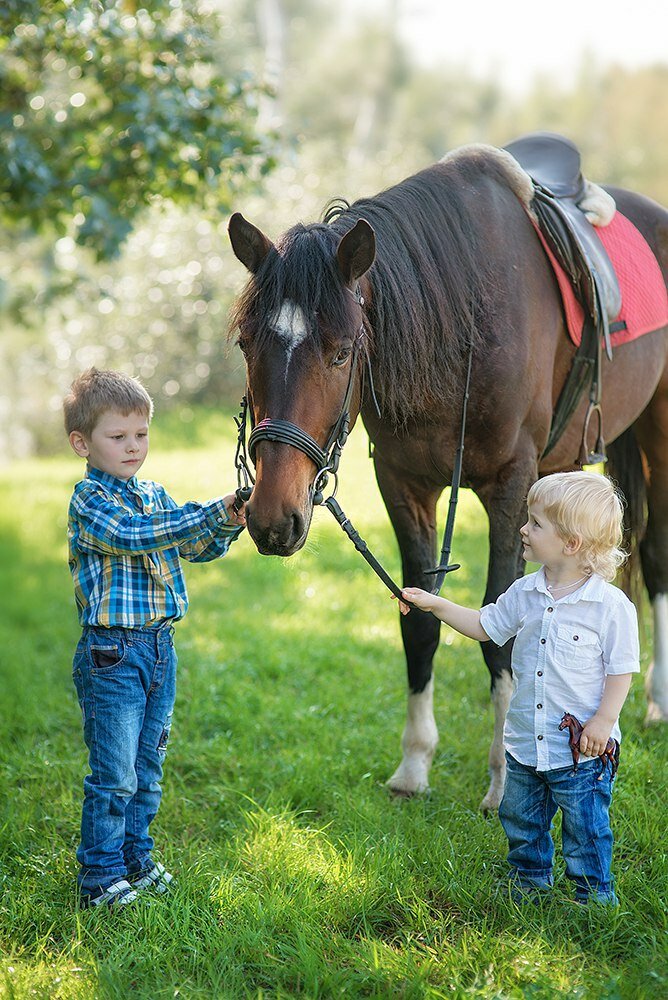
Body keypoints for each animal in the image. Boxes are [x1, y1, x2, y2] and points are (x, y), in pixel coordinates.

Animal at [227, 143, 664, 812]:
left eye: (342, 351)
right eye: (248, 345)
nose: (274, 518)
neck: (464, 316)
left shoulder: (513, 486)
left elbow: (502, 631)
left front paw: (505, 780)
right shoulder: (404, 485)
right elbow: (420, 622)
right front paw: (414, 765)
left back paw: (656, 702)